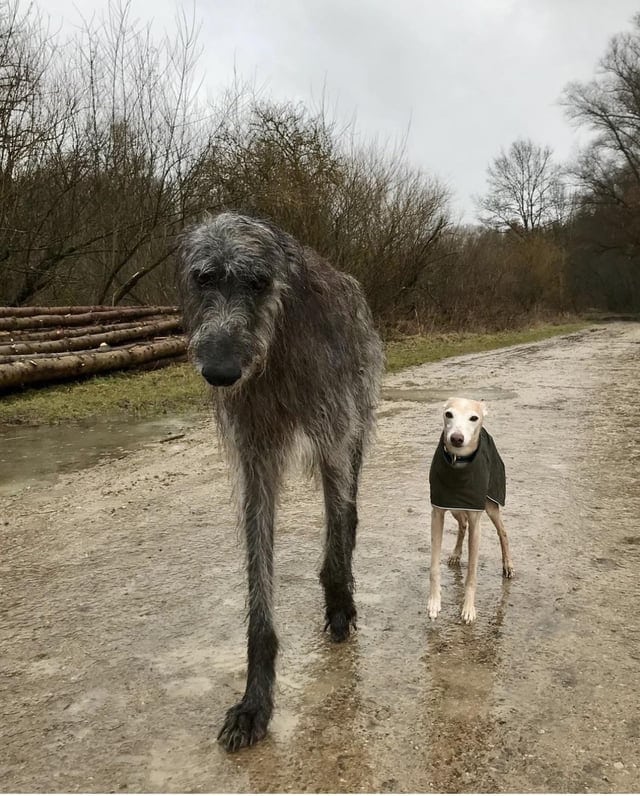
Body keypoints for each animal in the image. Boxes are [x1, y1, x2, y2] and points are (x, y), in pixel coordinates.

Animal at [427, 397, 514, 623]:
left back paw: (508, 565)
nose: (457, 438)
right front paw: (434, 603)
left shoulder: (477, 522)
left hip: (490, 506)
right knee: (462, 524)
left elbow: (472, 575)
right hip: (456, 508)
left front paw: (468, 610)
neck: (458, 464)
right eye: (448, 414)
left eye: (473, 418)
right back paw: (456, 554)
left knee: (503, 531)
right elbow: (434, 567)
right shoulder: (438, 513)